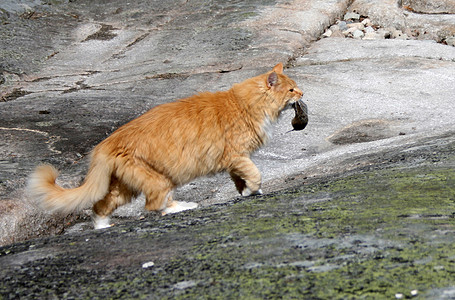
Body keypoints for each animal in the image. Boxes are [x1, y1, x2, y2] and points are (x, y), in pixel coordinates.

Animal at [30, 62, 304, 227]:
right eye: (292, 90)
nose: (302, 94)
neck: (244, 104)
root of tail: (105, 144)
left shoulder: (234, 161)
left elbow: (240, 179)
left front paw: (247, 191)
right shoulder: (237, 155)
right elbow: (255, 173)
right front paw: (254, 189)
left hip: (128, 186)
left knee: (101, 206)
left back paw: (102, 226)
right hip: (159, 179)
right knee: (154, 205)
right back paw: (183, 207)